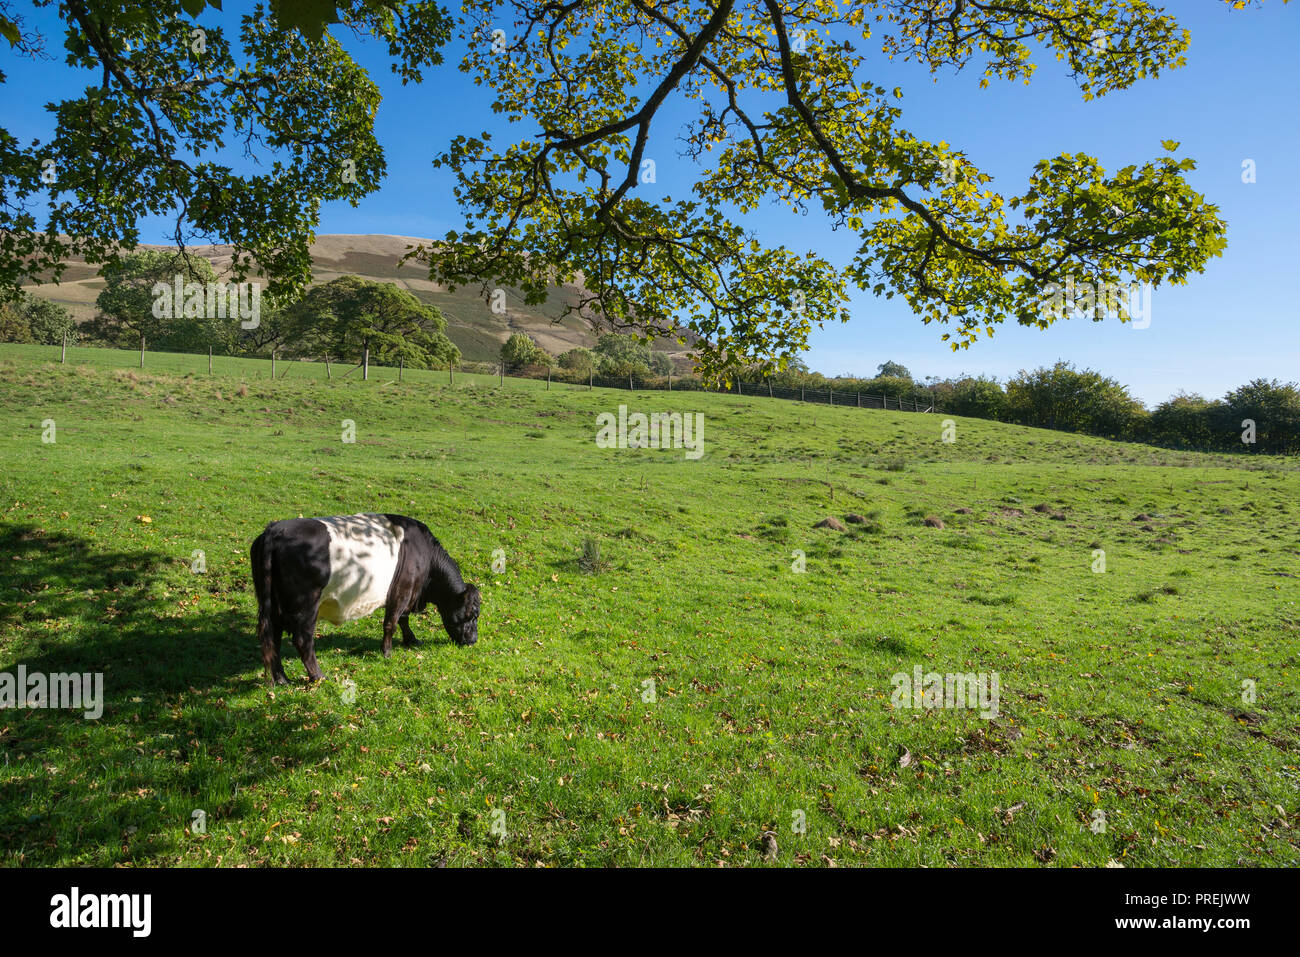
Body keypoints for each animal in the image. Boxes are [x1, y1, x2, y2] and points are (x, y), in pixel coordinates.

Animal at [249, 512, 483, 686]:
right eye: (472, 614)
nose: (473, 640)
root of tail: (274, 530)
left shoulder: (407, 594)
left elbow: (403, 619)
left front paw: (412, 640)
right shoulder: (402, 590)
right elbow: (391, 623)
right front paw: (387, 652)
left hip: (273, 606)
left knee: (273, 638)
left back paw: (282, 678)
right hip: (305, 607)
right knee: (302, 641)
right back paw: (318, 676)